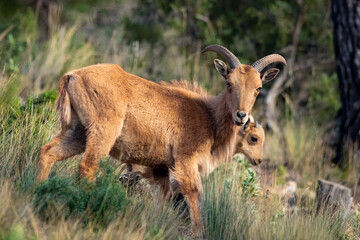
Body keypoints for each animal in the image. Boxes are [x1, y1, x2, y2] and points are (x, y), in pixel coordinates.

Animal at [38, 44, 286, 233]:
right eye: (229, 83)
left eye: (258, 87)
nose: (241, 115)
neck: (209, 117)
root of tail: (73, 75)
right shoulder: (185, 162)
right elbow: (195, 195)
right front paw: (198, 232)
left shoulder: (161, 169)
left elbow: (162, 198)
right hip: (102, 133)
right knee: (87, 166)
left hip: (78, 133)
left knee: (48, 152)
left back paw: (39, 188)